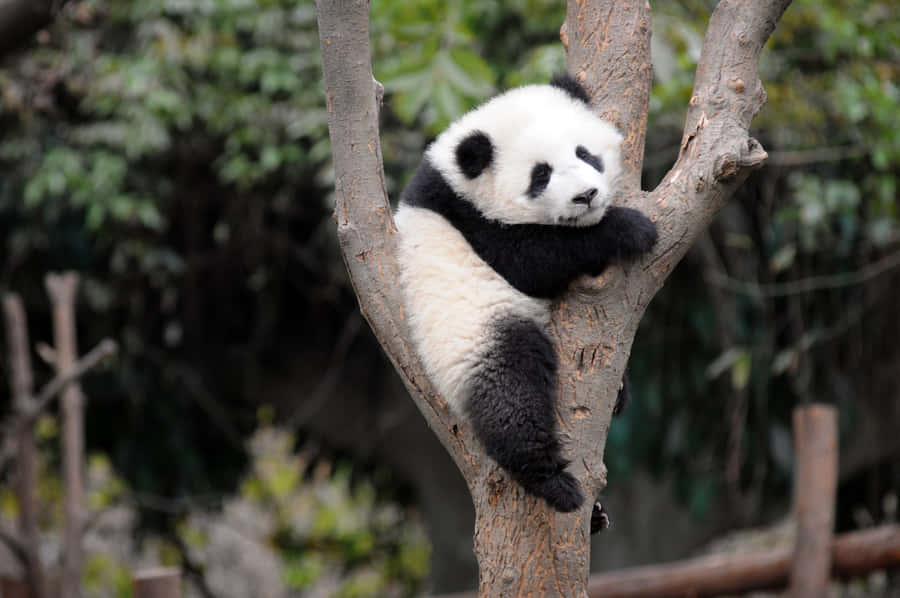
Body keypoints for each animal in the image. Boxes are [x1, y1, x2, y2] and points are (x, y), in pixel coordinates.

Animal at [393, 74, 657, 513]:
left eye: (584, 153)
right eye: (541, 176)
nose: (586, 196)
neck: (455, 176)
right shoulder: (473, 221)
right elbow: (531, 261)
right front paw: (631, 228)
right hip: (472, 333)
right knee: (510, 395)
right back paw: (552, 481)